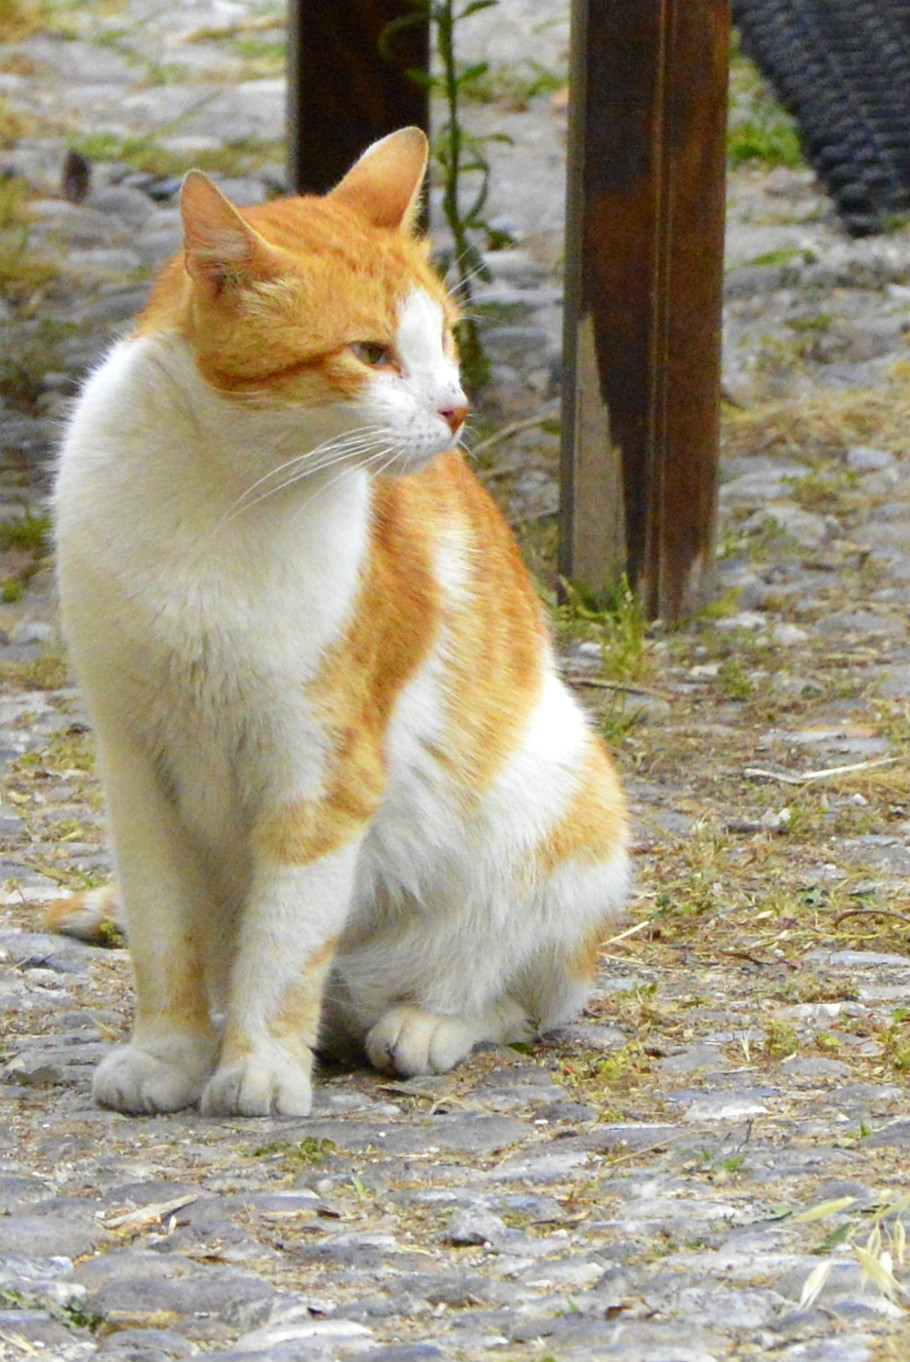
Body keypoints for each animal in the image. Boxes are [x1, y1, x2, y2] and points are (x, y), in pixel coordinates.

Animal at [52, 128, 630, 1118]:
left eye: (445, 339)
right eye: (371, 353)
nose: (456, 408)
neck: (217, 496)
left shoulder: (319, 771)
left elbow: (284, 945)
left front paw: (258, 1070)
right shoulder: (137, 770)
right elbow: (166, 939)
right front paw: (167, 1054)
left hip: (564, 809)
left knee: (517, 1000)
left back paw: (425, 1025)